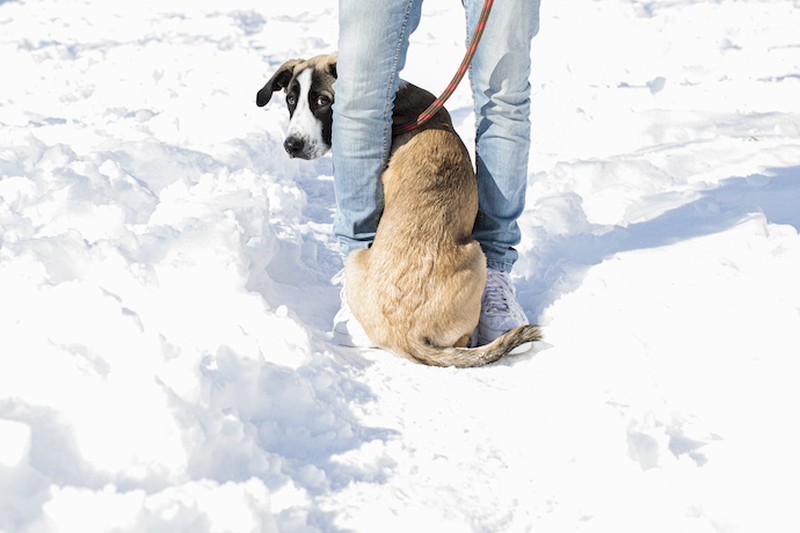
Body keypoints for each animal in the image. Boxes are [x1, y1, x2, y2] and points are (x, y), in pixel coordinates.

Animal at [258, 54, 544, 368]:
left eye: (323, 101)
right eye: (291, 100)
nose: (292, 146)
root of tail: (405, 336)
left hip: (364, 257)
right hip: (473, 254)